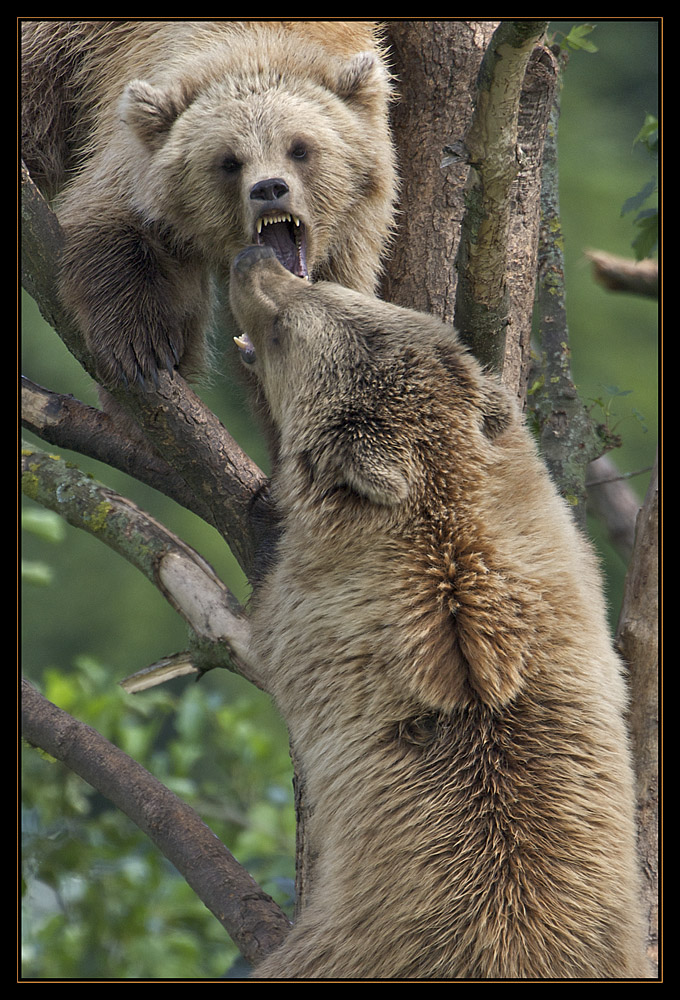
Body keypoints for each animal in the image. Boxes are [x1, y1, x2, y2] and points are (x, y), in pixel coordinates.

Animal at [21, 18, 396, 390]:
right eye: (229, 161)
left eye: (300, 148)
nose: (269, 188)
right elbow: (110, 219)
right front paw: (143, 345)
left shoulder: (352, 236)